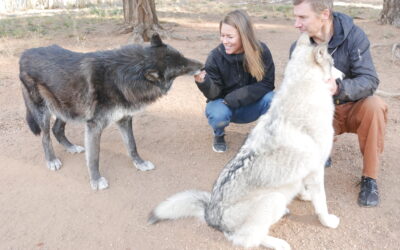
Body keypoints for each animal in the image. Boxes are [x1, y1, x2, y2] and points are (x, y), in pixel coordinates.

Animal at [19, 33, 203, 189]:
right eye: (181, 67)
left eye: (182, 56)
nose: (202, 66)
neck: (126, 74)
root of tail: (24, 54)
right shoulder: (94, 127)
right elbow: (94, 157)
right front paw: (96, 180)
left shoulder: (124, 119)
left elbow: (132, 145)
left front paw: (140, 163)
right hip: (44, 112)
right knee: (45, 137)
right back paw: (51, 160)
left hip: (67, 109)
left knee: (57, 129)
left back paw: (71, 147)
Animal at [148, 33, 342, 250]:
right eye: (333, 64)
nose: (343, 75)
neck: (303, 93)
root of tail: (210, 215)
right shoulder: (317, 169)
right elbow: (322, 204)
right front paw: (328, 222)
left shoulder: (307, 170)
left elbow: (302, 187)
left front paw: (304, 195)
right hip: (273, 199)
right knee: (247, 240)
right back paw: (279, 243)